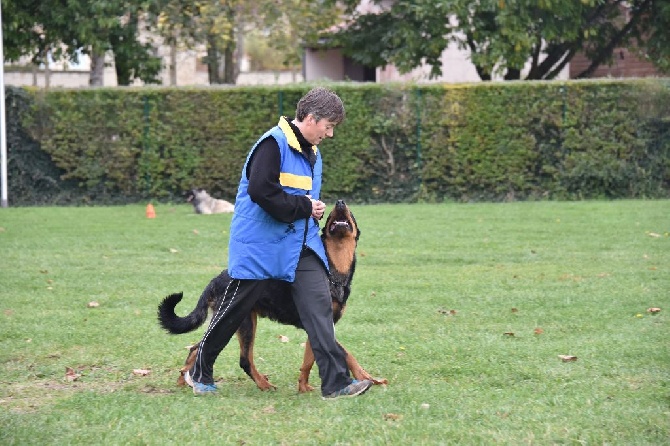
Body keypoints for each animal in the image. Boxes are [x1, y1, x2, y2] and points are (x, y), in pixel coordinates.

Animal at [158, 200, 388, 392]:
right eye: (331, 213)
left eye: (349, 213)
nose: (340, 202)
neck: (333, 269)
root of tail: (216, 279)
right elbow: (345, 353)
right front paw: (366, 378)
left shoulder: (319, 323)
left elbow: (310, 359)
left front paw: (304, 387)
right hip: (243, 322)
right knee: (243, 359)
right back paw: (263, 384)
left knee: (197, 347)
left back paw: (185, 380)